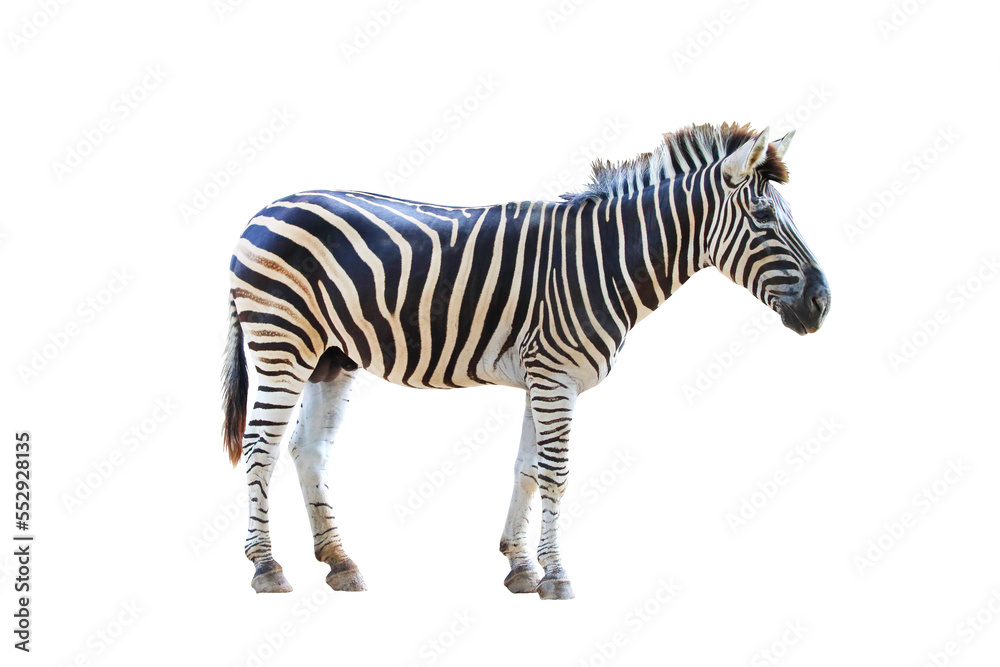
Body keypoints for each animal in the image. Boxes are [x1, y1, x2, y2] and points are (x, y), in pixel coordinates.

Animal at [221, 122, 830, 600]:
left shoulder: (545, 377)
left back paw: (340, 562)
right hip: (281, 343)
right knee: (260, 449)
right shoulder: (555, 375)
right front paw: (557, 576)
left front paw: (520, 566)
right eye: (762, 217)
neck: (604, 260)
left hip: (330, 356)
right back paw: (267, 567)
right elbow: (556, 474)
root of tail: (265, 208)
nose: (823, 304)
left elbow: (527, 469)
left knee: (308, 450)